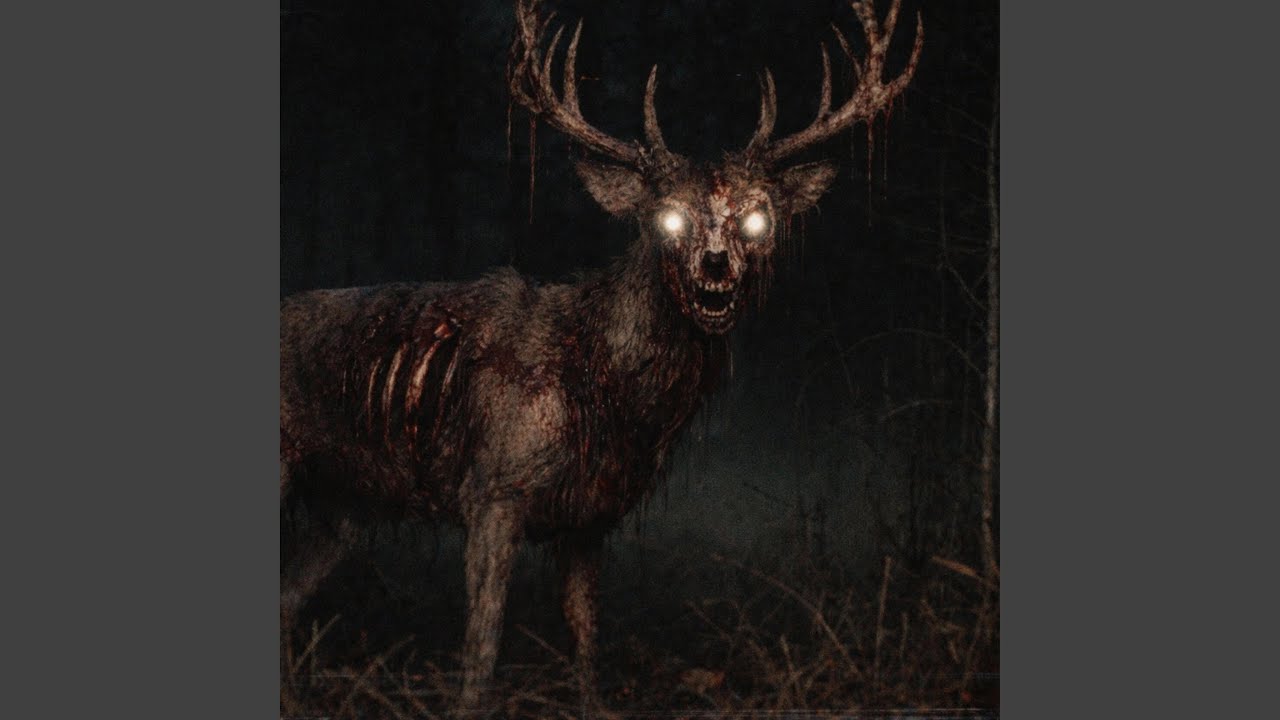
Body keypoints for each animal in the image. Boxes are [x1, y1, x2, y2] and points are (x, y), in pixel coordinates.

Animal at [280, 0, 921, 712]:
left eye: (758, 219)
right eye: (667, 218)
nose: (715, 267)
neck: (606, 388)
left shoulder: (594, 516)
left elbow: (588, 642)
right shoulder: (493, 488)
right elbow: (481, 648)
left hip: (341, 505)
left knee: (285, 602)